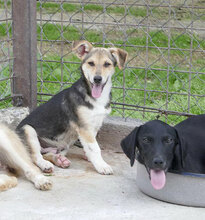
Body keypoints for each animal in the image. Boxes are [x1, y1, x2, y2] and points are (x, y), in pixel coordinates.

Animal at [16, 40, 127, 175]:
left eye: (107, 64)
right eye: (91, 63)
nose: (97, 79)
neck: (93, 96)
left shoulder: (94, 126)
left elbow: (91, 146)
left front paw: (91, 158)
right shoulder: (85, 128)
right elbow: (95, 148)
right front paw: (102, 165)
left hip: (63, 145)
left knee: (46, 154)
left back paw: (59, 160)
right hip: (28, 130)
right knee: (35, 156)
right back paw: (45, 165)